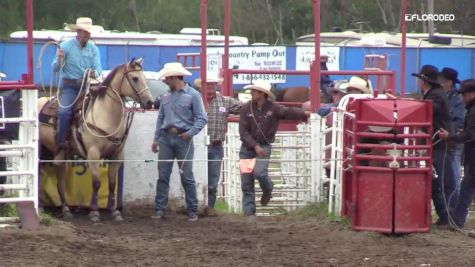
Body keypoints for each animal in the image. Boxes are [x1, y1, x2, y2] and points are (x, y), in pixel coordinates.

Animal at [39, 58, 154, 222]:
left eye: (144, 77)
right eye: (135, 78)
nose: (150, 102)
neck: (105, 114)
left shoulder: (116, 155)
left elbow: (112, 183)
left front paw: (114, 211)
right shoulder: (93, 154)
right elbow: (97, 182)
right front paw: (94, 212)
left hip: (62, 155)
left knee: (60, 182)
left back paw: (66, 210)